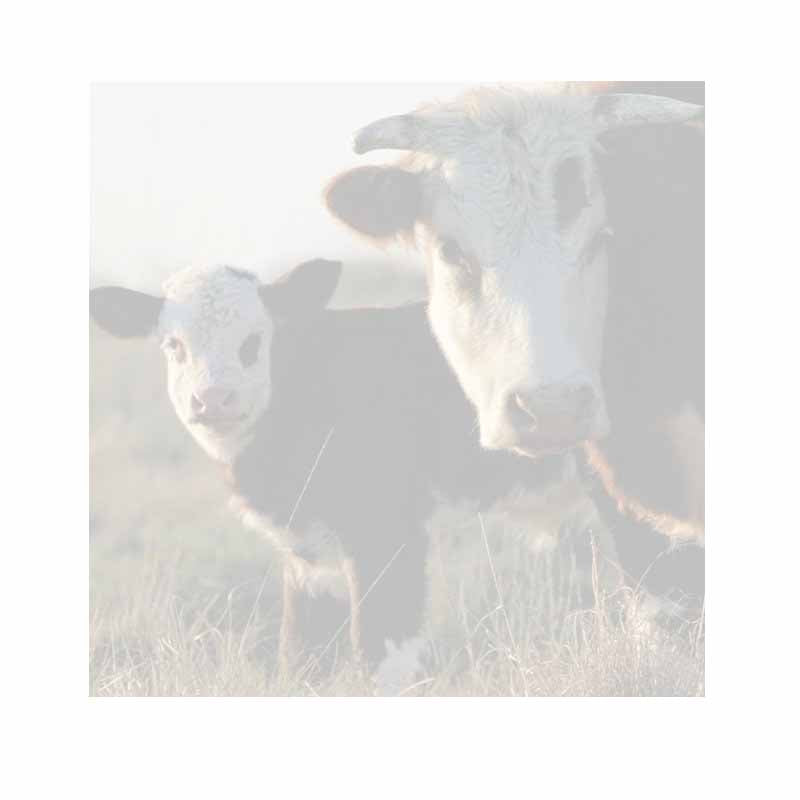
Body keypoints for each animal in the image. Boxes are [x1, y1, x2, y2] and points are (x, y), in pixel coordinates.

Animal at [90, 259, 609, 692]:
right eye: (173, 345)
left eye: (253, 341)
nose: (212, 399)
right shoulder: (307, 555)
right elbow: (300, 654)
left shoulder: (387, 535)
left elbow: (380, 654)